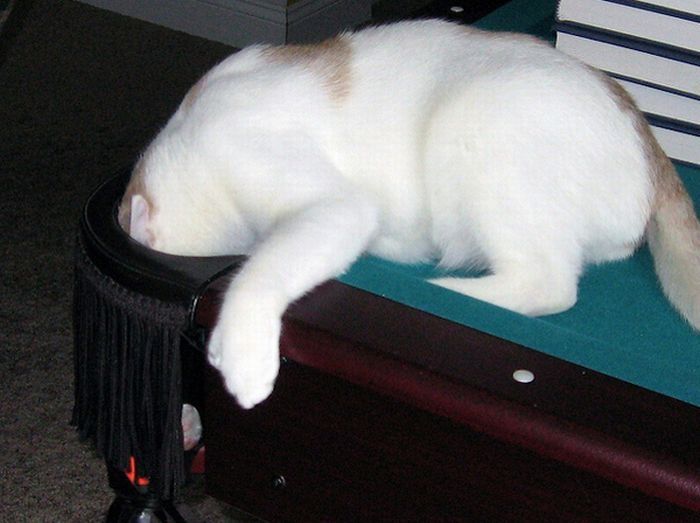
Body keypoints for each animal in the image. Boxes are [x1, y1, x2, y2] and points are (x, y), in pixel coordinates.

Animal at [117, 20, 700, 410]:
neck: (190, 133)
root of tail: (650, 141)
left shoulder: (331, 203)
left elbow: (261, 271)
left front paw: (241, 352)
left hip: (479, 126)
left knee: (550, 285)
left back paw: (447, 289)